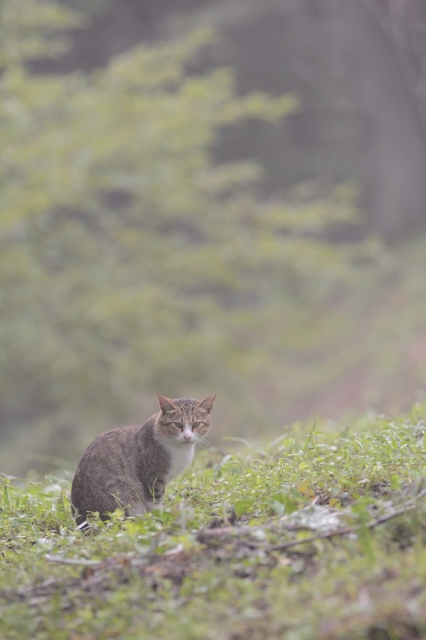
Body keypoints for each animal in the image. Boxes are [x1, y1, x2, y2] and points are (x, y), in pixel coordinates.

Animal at [71, 396, 216, 524]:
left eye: (196, 424)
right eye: (177, 424)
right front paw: (159, 518)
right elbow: (155, 504)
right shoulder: (153, 479)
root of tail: (80, 519)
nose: (187, 437)